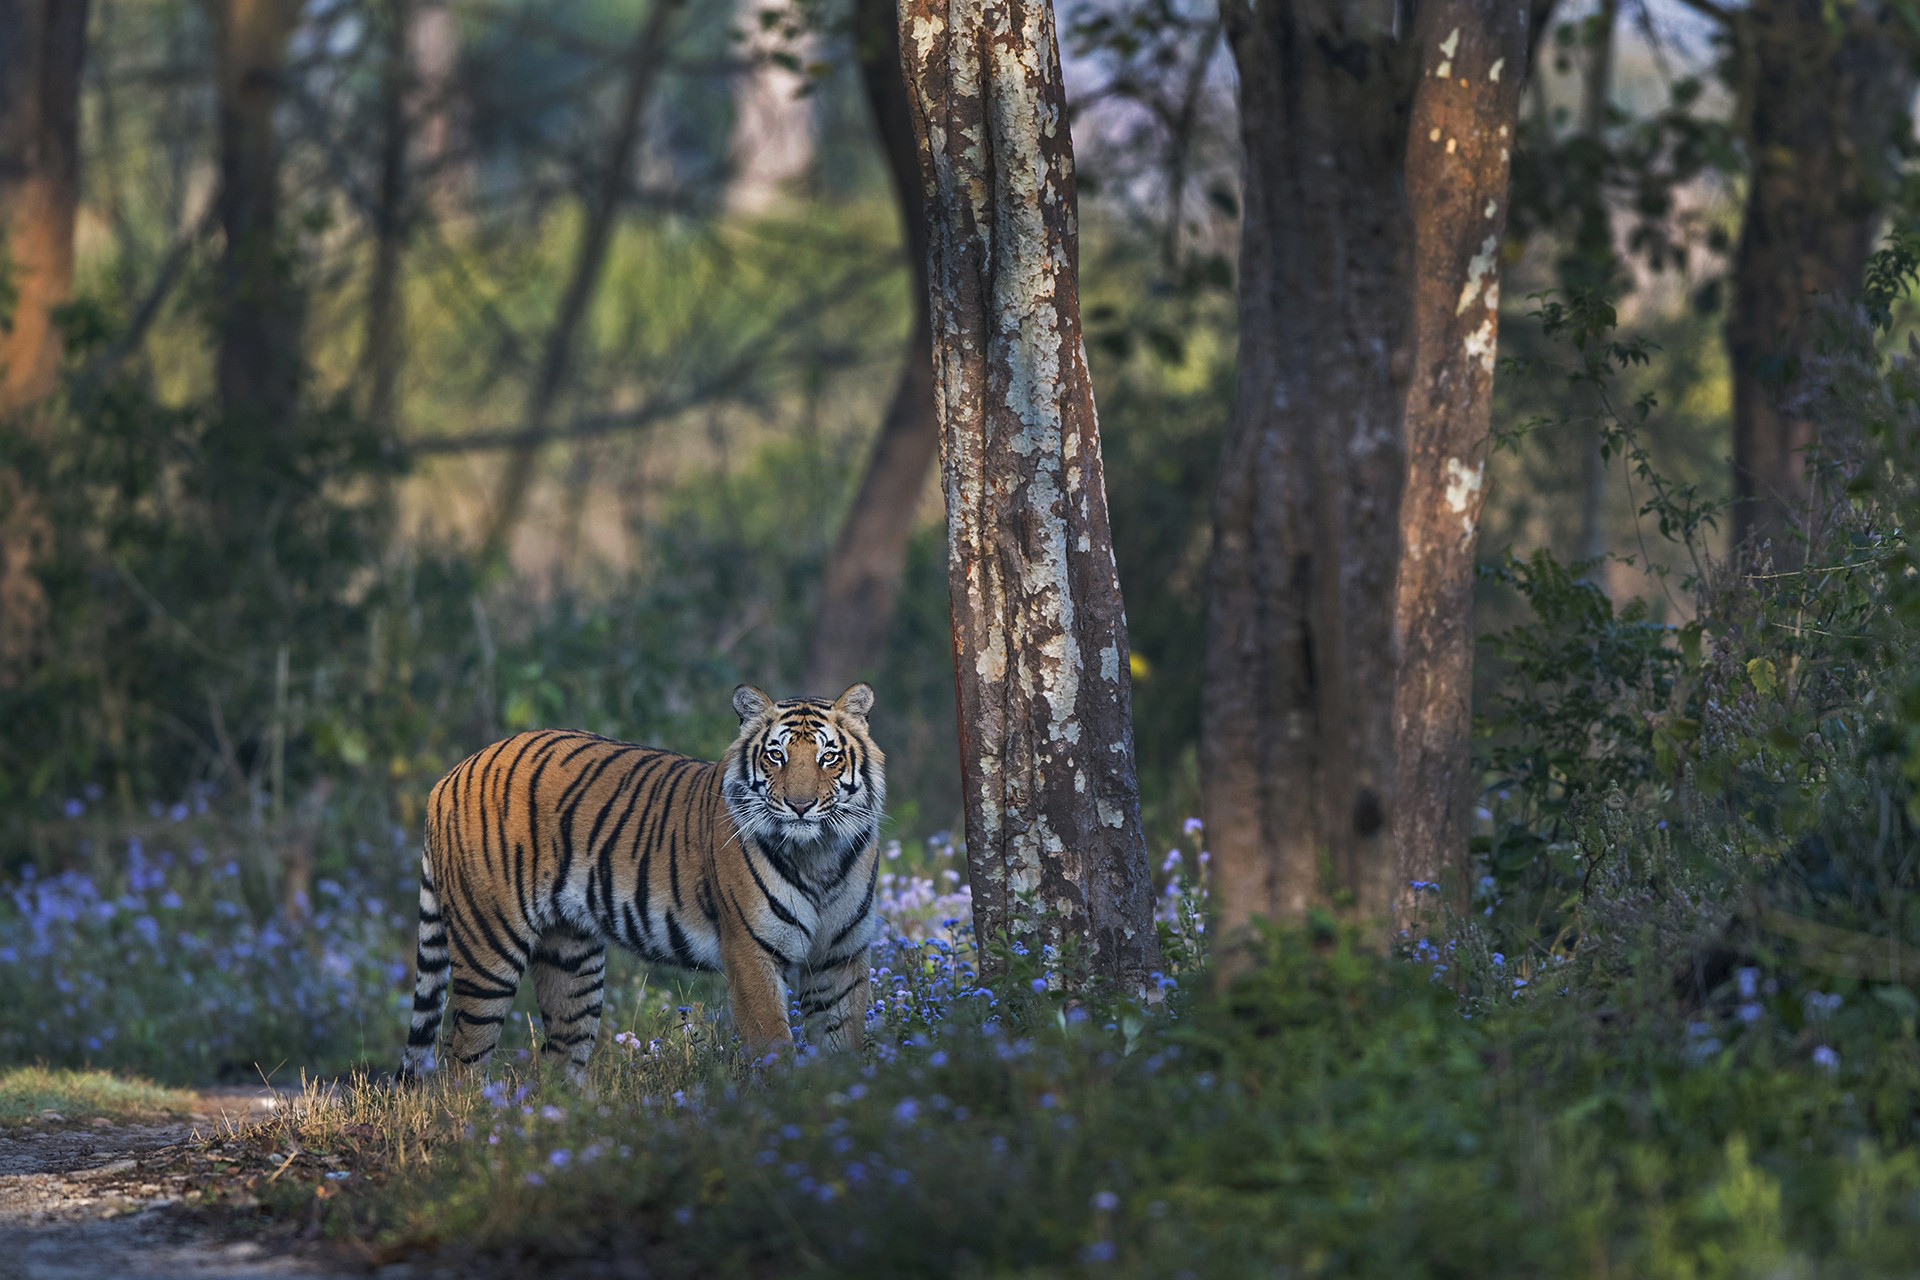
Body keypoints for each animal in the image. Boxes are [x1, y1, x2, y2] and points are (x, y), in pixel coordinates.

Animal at [398, 682, 885, 1082]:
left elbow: (843, 1042)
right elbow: (774, 1047)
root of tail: (450, 775)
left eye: (828, 757)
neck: (819, 855)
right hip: (488, 949)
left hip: (572, 961)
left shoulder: (840, 956)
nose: (800, 806)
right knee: (460, 1058)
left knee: (559, 1062)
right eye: (776, 755)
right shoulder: (751, 954)